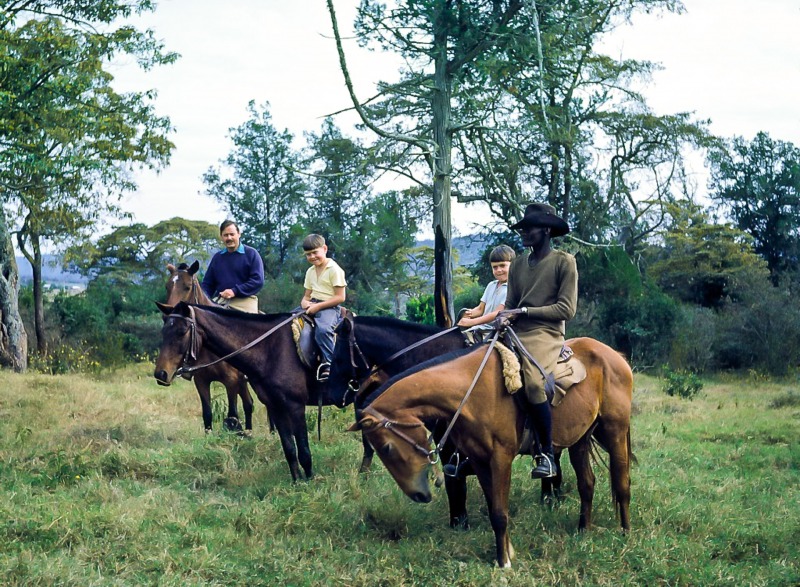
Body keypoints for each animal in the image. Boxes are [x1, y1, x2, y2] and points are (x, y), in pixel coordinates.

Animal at [155, 304, 320, 482]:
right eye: (163, 331)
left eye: (182, 332)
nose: (161, 374)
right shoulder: (202, 381)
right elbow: (208, 413)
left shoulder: (233, 382)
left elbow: (232, 416)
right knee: (249, 405)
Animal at [350, 338, 632, 568]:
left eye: (387, 447)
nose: (419, 495)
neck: (469, 392)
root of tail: (616, 356)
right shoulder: (479, 460)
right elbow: (493, 507)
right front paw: (506, 551)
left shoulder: (500, 459)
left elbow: (498, 511)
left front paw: (503, 561)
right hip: (580, 439)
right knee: (587, 484)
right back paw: (584, 530)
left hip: (615, 430)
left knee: (622, 483)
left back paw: (625, 532)